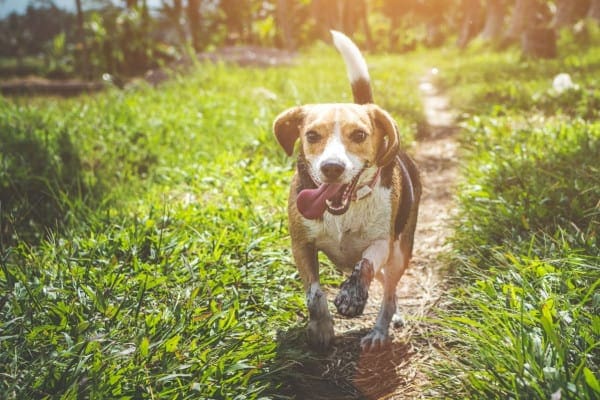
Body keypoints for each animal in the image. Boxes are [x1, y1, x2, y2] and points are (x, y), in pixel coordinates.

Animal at [274, 30, 422, 350]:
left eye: (359, 135)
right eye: (311, 135)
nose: (332, 167)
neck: (345, 210)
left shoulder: (382, 242)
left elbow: (365, 264)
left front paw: (352, 296)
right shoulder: (301, 244)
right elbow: (314, 293)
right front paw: (321, 327)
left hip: (400, 253)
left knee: (388, 292)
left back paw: (380, 330)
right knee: (385, 286)